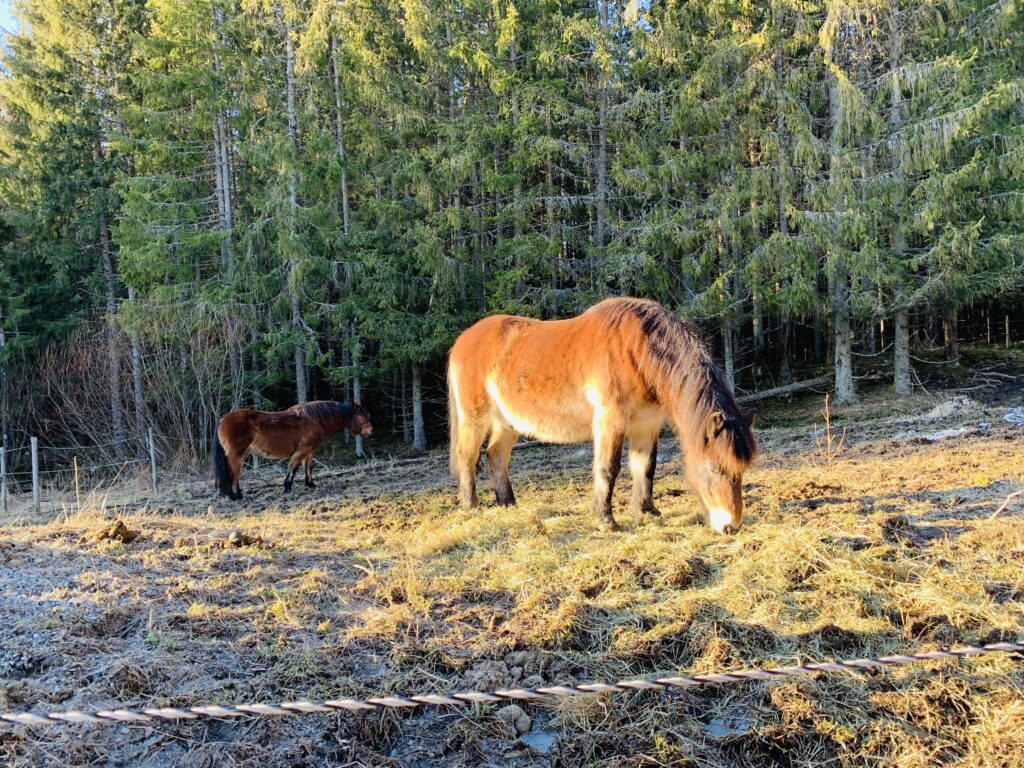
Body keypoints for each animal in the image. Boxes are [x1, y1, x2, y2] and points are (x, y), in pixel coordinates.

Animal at [213, 401, 372, 500]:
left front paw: (310, 484)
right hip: (236, 456)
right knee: (234, 475)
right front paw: (287, 487)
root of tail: (222, 420)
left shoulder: (309, 451)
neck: (314, 419)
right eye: (363, 416)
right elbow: (293, 468)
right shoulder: (301, 451)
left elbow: (308, 467)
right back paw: (237, 496)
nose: (370, 431)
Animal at [447, 297, 757, 534]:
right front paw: (605, 521)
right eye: (714, 468)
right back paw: (470, 506)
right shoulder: (611, 421)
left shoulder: (647, 424)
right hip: (474, 418)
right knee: (467, 456)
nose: (731, 527)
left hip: (507, 422)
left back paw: (507, 502)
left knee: (495, 455)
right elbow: (608, 469)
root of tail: (462, 341)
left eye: (741, 470)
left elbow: (645, 466)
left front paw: (647, 511)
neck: (637, 351)